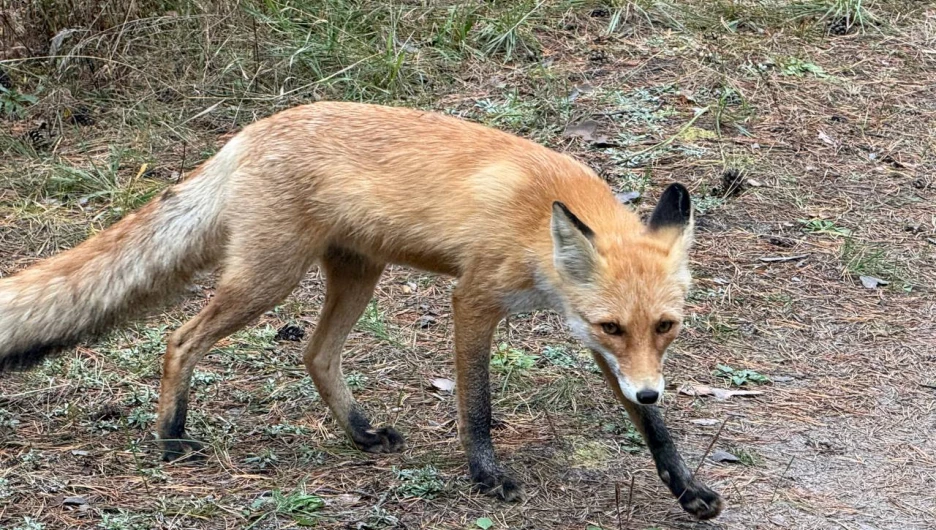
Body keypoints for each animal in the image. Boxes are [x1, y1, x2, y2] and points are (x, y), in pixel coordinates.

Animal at [0, 101, 722, 519]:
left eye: (666, 327)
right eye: (613, 324)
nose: (653, 389)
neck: (535, 219)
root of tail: (249, 133)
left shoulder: (603, 346)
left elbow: (655, 430)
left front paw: (686, 488)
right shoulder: (475, 299)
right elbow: (477, 405)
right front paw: (487, 476)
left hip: (356, 276)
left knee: (314, 354)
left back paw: (361, 432)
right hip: (268, 279)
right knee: (181, 340)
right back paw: (172, 437)